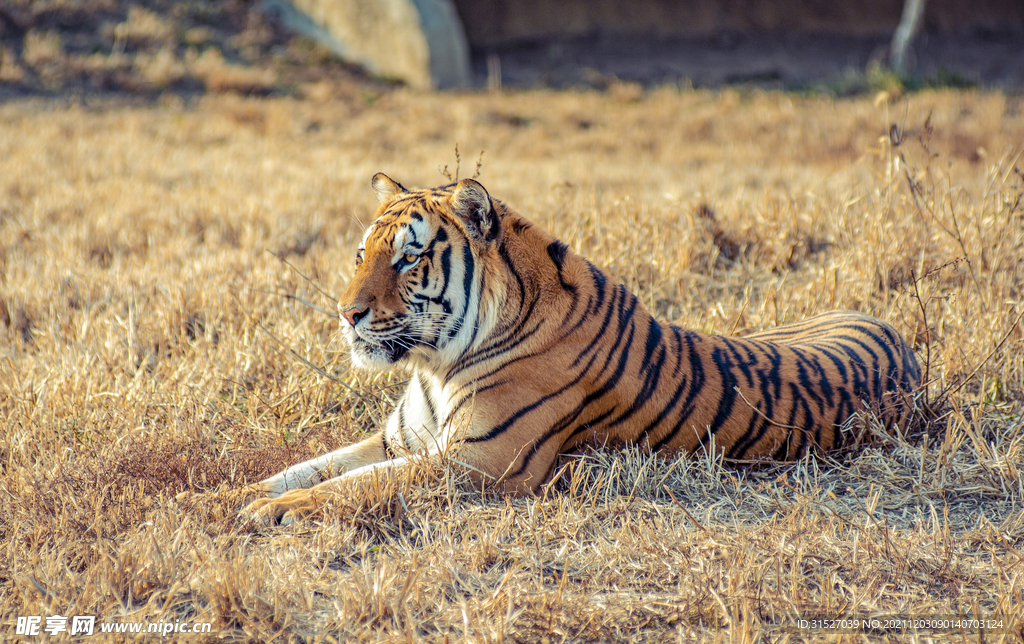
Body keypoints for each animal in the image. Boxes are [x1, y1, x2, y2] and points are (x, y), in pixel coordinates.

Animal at [243, 173, 925, 524]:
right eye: (363, 253)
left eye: (408, 259)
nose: (347, 313)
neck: (435, 366)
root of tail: (888, 328)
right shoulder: (399, 441)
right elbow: (310, 467)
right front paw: (238, 496)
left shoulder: (478, 463)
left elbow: (352, 486)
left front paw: (271, 512)